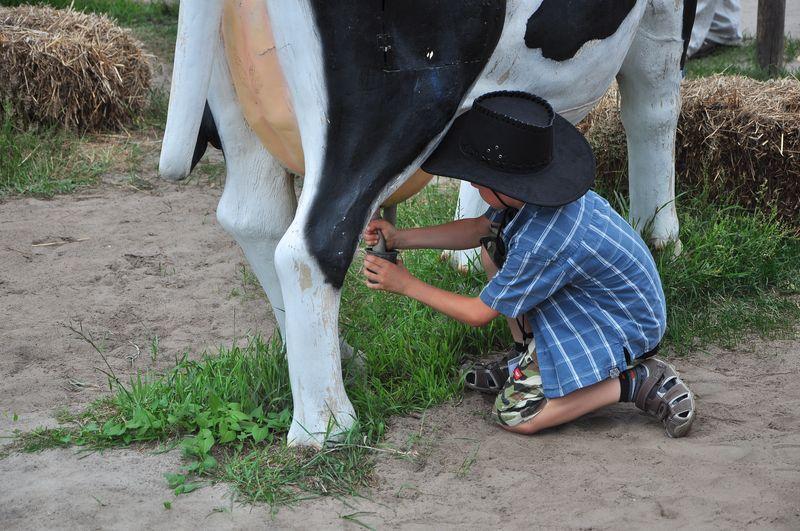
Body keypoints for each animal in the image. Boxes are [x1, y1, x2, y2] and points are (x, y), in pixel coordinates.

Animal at [161, 0, 692, 446]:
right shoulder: (667, 12)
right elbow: (655, 104)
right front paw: (659, 236)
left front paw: (462, 258)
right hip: (391, 96)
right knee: (311, 243)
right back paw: (327, 427)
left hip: (237, 104)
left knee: (253, 218)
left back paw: (342, 359)